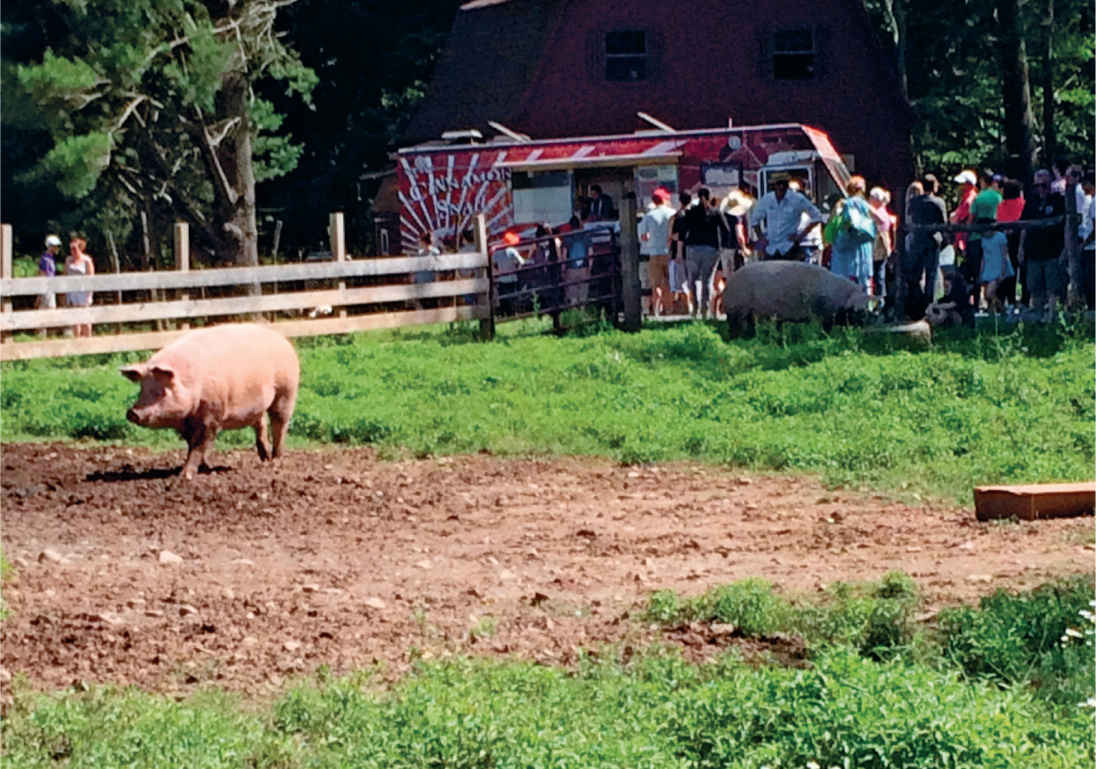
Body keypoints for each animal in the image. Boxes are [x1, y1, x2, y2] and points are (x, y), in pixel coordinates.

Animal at [121, 322, 300, 479]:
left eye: (161, 392)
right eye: (141, 389)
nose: (132, 413)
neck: (193, 384)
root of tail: (283, 340)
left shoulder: (213, 414)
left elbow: (200, 444)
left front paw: (184, 476)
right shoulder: (186, 424)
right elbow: (192, 444)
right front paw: (205, 468)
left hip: (286, 391)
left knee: (280, 425)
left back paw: (275, 462)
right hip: (258, 405)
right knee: (261, 424)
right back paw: (265, 459)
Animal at [723, 261, 868, 337]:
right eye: (858, 312)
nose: (867, 327)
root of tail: (727, 285)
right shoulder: (823, 316)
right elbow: (824, 331)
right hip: (738, 310)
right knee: (736, 329)